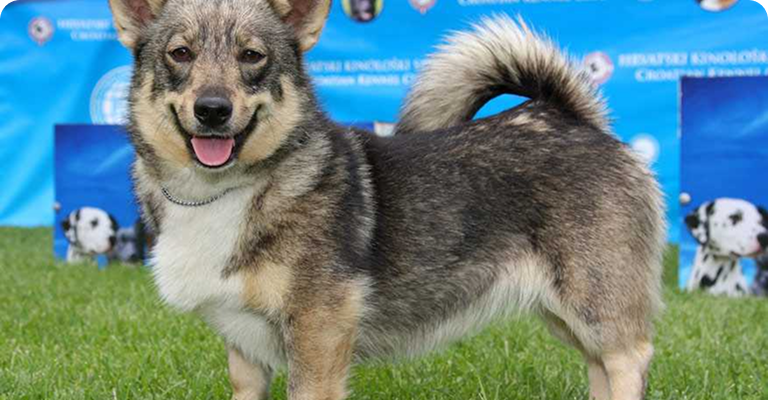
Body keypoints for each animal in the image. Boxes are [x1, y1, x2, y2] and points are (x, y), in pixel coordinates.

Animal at [108, 1, 666, 399]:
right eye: (180, 54)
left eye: (252, 56)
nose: (213, 110)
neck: (224, 192)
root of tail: (570, 118)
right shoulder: (245, 354)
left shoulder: (318, 336)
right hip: (566, 312)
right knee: (599, 367)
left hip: (595, 300)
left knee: (629, 359)